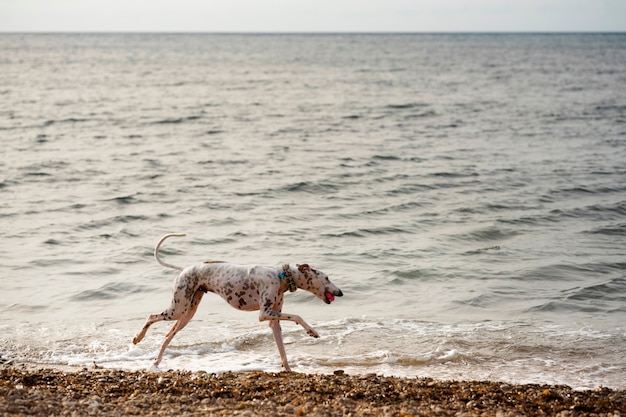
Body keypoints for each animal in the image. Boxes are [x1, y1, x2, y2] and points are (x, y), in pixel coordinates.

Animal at [130, 231, 342, 370]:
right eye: (327, 278)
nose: (340, 293)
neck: (280, 276)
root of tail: (185, 269)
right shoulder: (264, 313)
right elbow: (297, 315)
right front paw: (312, 331)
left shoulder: (273, 320)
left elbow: (282, 349)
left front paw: (288, 369)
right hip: (178, 308)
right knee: (151, 316)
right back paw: (137, 338)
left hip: (186, 314)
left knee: (167, 336)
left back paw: (156, 362)